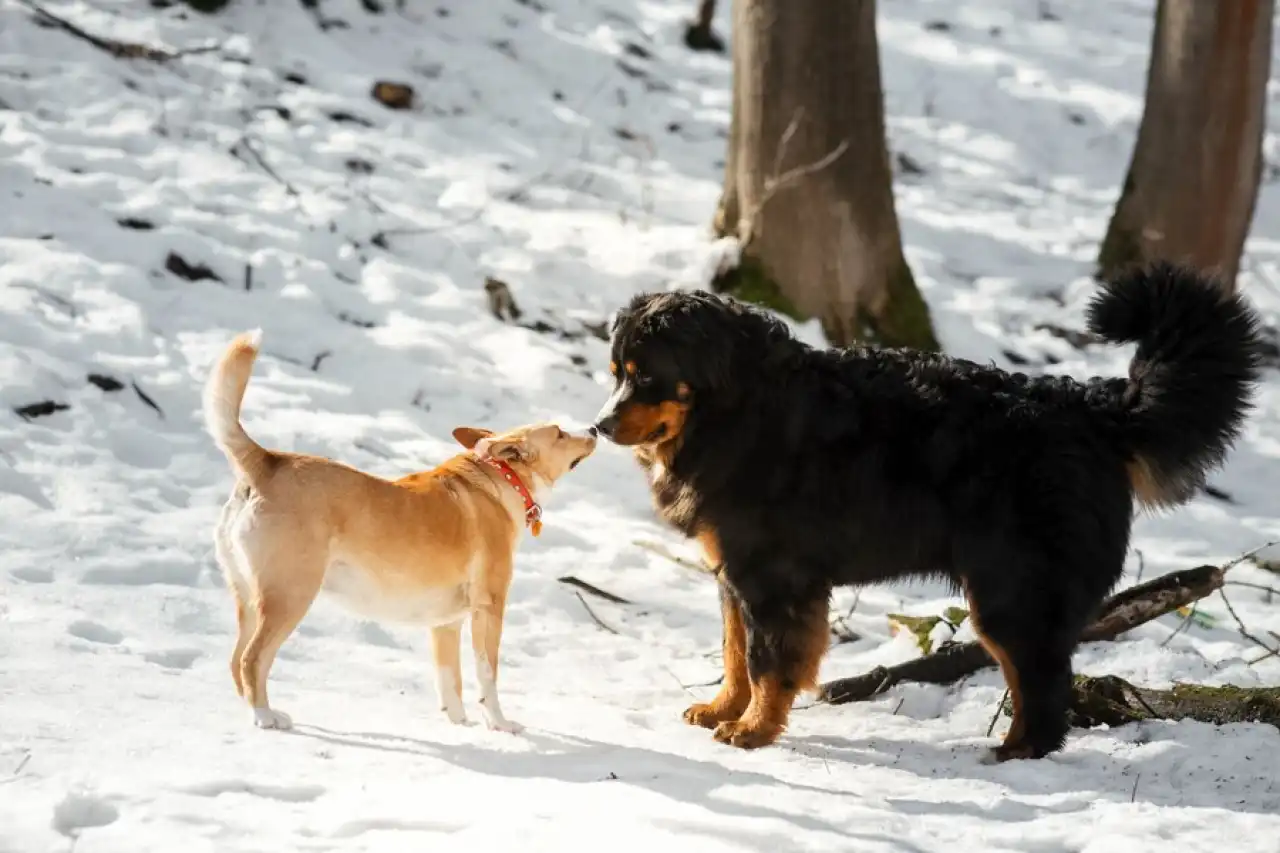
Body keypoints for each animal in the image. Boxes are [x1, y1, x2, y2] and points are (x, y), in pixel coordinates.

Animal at [203, 327, 593, 727]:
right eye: (560, 433)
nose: (595, 428)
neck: (502, 478)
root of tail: (267, 462)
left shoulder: (446, 624)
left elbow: (449, 681)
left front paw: (460, 725)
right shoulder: (489, 608)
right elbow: (488, 676)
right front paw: (499, 725)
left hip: (249, 597)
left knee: (235, 661)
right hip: (290, 594)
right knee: (252, 660)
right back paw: (265, 716)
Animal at [588, 263, 1259, 758]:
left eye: (645, 376)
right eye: (617, 372)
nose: (599, 425)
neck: (735, 407)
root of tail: (1097, 410)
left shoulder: (773, 580)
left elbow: (766, 663)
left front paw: (753, 729)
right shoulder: (734, 576)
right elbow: (733, 654)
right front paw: (722, 710)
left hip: (1012, 592)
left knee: (1043, 684)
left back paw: (1017, 754)